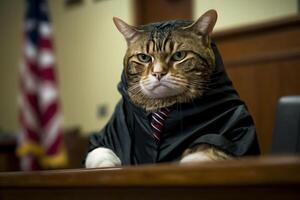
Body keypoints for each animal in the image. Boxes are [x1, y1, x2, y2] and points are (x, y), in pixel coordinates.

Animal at [85, 9, 256, 169]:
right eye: (144, 57)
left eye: (179, 55)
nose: (158, 73)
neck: (162, 105)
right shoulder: (105, 136)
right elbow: (99, 153)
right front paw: (109, 165)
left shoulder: (236, 133)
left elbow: (211, 148)